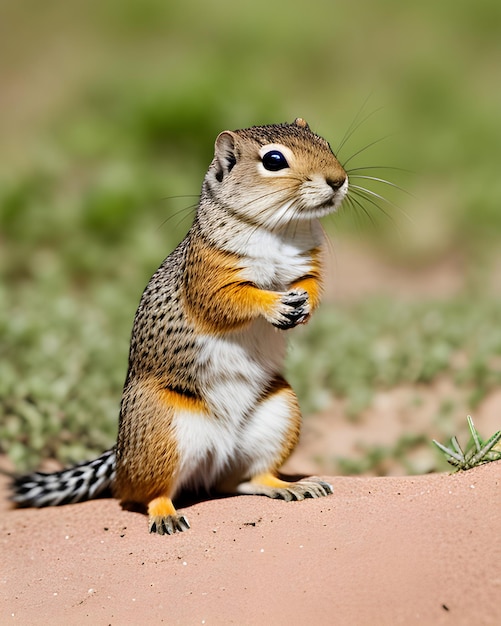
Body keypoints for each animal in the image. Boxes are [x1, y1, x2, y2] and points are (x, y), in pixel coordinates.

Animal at [12, 119, 348, 532]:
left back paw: (288, 485)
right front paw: (273, 305)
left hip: (278, 415)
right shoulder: (206, 276)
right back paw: (165, 513)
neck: (282, 232)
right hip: (162, 430)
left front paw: (302, 306)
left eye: (325, 142)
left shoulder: (307, 267)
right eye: (273, 160)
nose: (338, 180)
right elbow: (229, 302)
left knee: (246, 479)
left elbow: (311, 286)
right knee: (140, 494)